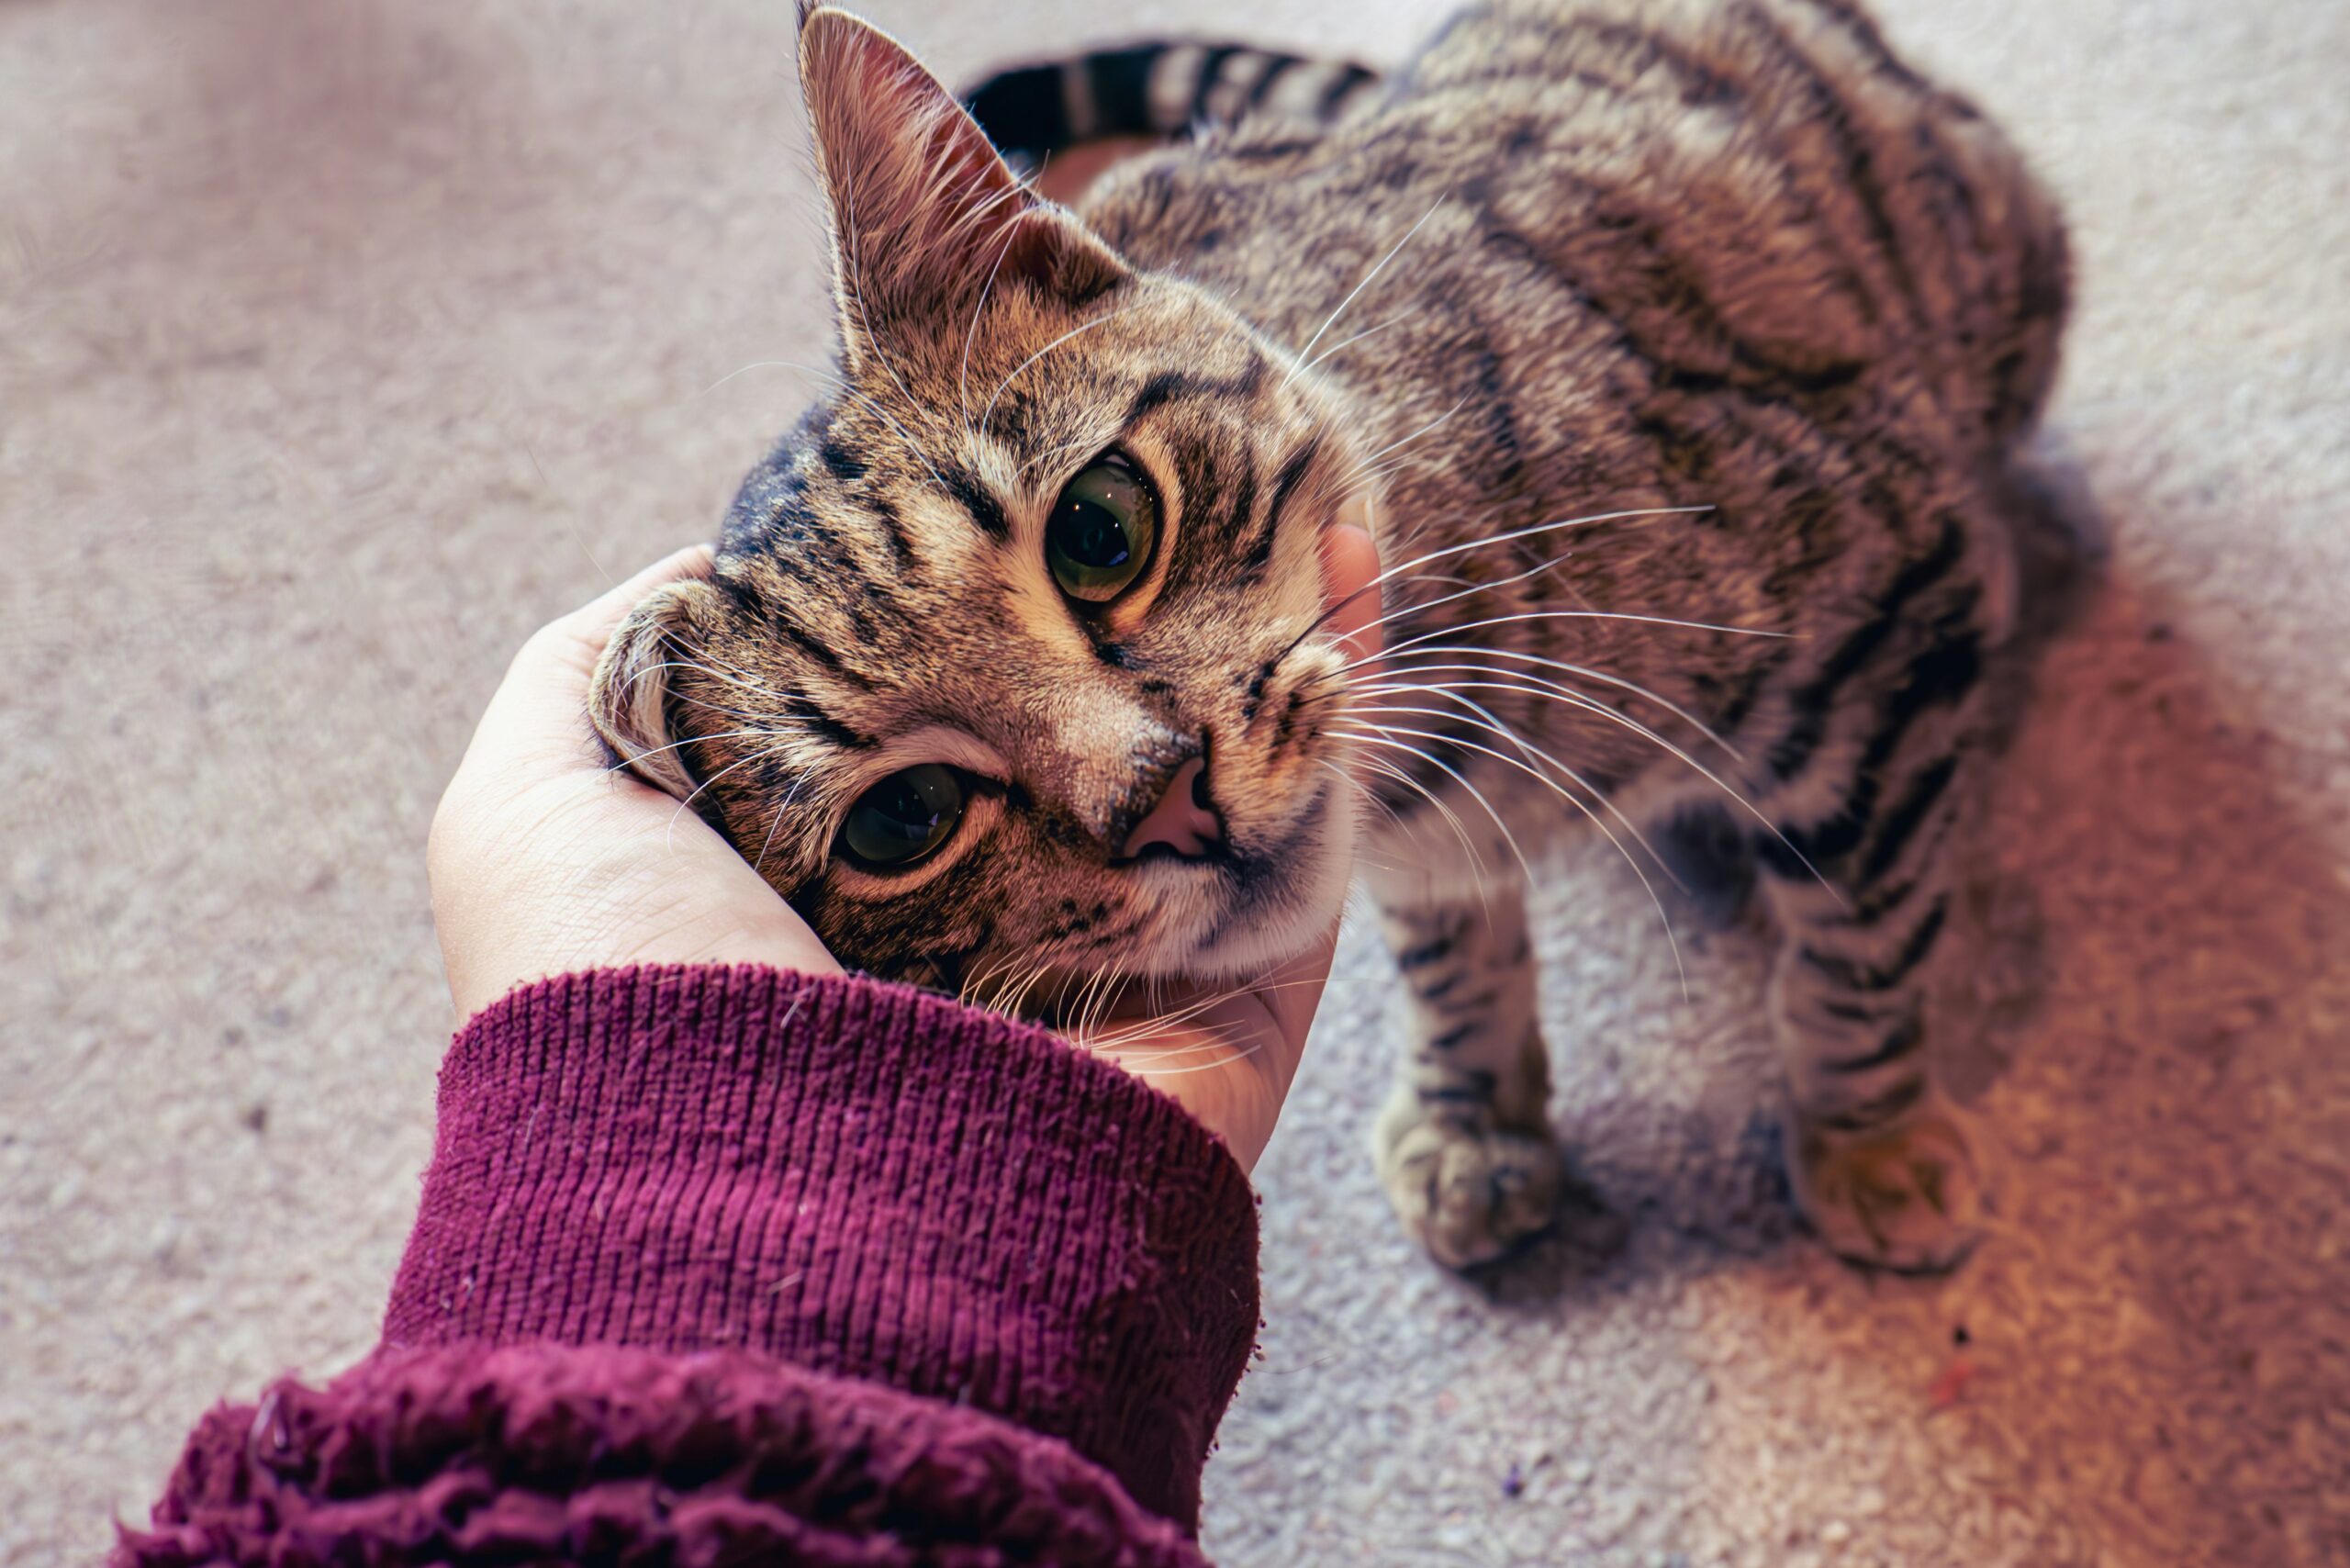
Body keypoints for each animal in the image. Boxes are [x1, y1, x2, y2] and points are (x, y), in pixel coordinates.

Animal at [597, 0, 2067, 1279]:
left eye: (1101, 529)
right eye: (903, 820)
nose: (1164, 793)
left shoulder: (1886, 614)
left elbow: (1857, 946)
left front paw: (1869, 1139)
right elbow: (1451, 945)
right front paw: (1477, 1112)